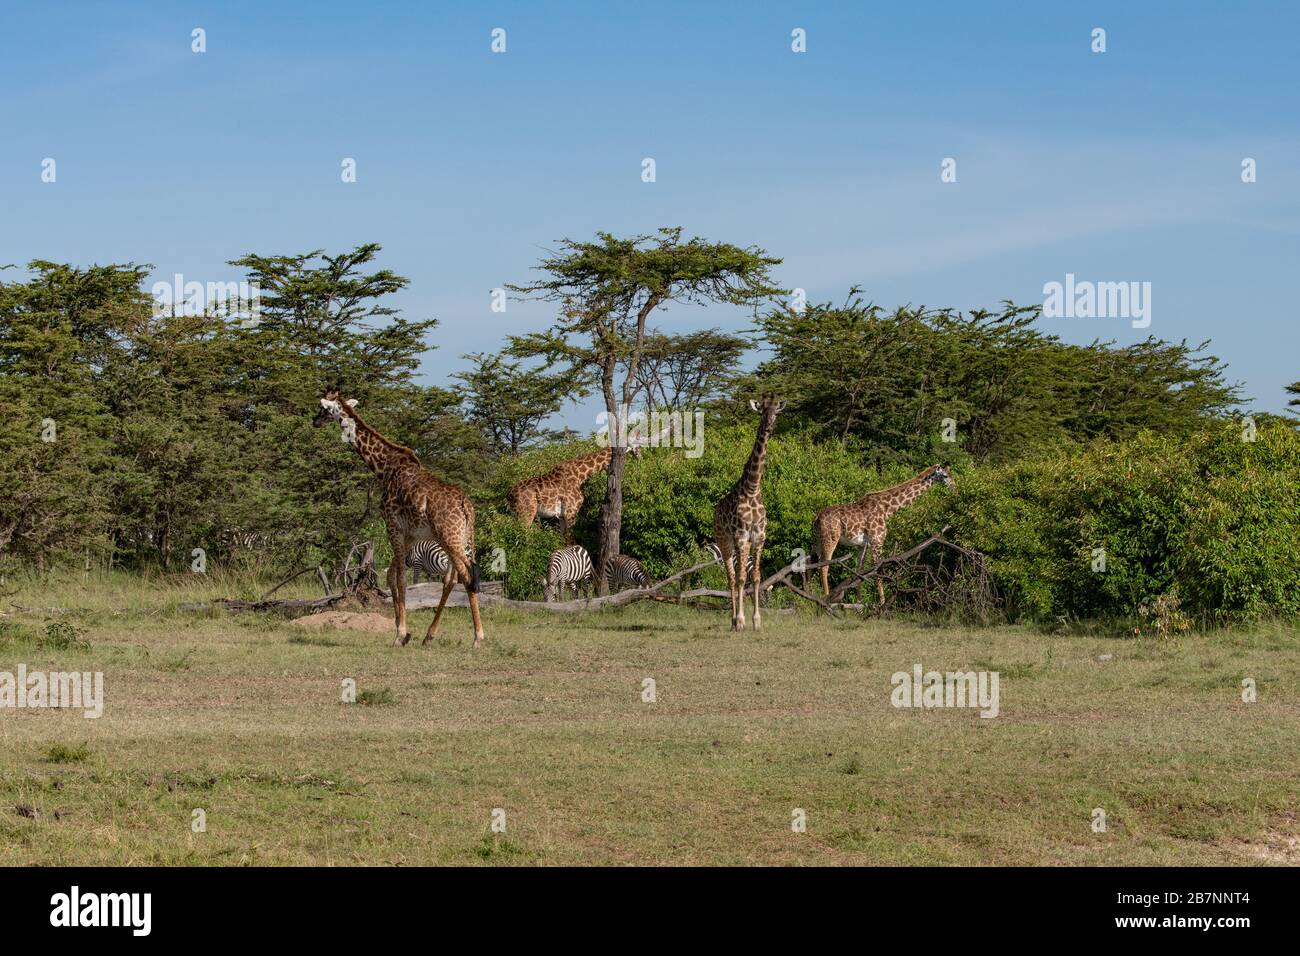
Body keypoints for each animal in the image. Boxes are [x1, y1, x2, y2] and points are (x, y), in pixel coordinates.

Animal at [312, 392, 486, 647]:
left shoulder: (392, 525)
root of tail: (467, 507)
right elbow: (391, 576)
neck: (383, 467)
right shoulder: (410, 534)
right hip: (458, 538)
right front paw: (402, 630)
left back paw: (477, 637)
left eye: (324, 409)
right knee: (451, 579)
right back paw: (429, 635)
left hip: (450, 538)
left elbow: (401, 578)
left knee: (467, 576)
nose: (314, 420)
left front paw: (400, 634)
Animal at [506, 444, 639, 541]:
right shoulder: (571, 511)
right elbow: (571, 540)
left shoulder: (562, 515)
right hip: (526, 513)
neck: (580, 475)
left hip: (516, 514)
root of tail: (509, 494)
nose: (639, 455)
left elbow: (563, 540)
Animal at [712, 398, 780, 634]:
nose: (768, 427)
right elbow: (741, 579)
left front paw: (757, 621)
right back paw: (733, 621)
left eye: (776, 413)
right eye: (762, 412)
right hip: (725, 542)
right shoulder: (741, 536)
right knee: (731, 579)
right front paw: (741, 620)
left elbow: (756, 578)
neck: (752, 488)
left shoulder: (759, 536)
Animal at [811, 463, 956, 606]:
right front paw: (882, 604)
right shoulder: (877, 541)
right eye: (945, 475)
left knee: (811, 566)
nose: (954, 486)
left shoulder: (862, 545)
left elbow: (859, 572)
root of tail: (816, 518)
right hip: (830, 539)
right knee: (824, 566)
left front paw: (859, 605)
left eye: (950, 474)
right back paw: (826, 600)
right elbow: (878, 572)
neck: (887, 509)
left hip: (816, 542)